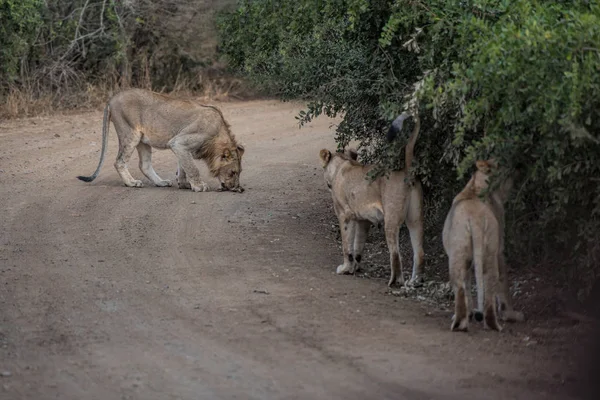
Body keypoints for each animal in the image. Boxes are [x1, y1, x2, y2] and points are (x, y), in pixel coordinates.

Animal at [78, 89, 246, 192]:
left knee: (144, 165)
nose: (237, 188)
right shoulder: (180, 141)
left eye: (239, 172)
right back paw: (132, 183)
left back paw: (161, 182)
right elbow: (192, 168)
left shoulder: (181, 146)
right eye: (233, 172)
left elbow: (183, 166)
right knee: (119, 162)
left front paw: (183, 183)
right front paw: (199, 186)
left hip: (143, 140)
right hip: (130, 133)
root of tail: (112, 98)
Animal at [322, 114, 424, 286]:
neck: (342, 164)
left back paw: (395, 282)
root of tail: (407, 170)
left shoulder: (345, 215)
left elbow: (346, 245)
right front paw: (354, 268)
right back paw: (413, 283)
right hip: (415, 219)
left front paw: (345, 269)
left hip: (391, 218)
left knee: (395, 253)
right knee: (420, 252)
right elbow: (358, 246)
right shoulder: (363, 220)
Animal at [442, 159, 524, 332]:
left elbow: (468, 284)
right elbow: (504, 283)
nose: (519, 164)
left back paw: (462, 324)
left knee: (461, 288)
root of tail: (475, 219)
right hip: (489, 253)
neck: (476, 186)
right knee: (488, 290)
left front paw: (470, 314)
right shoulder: (500, 249)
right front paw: (510, 313)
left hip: (458, 254)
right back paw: (491, 324)